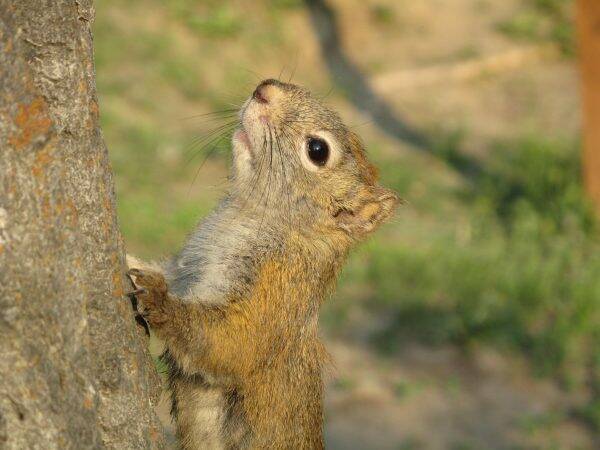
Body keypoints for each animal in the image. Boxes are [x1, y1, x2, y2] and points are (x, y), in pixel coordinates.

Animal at [126, 79, 398, 448]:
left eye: (318, 150)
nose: (264, 89)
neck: (248, 214)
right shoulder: (186, 267)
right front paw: (127, 255)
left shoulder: (274, 293)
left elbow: (229, 342)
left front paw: (159, 302)